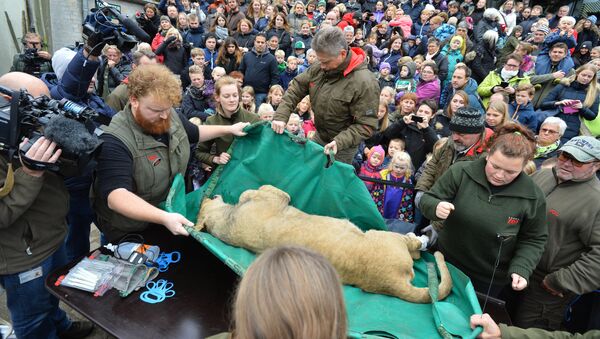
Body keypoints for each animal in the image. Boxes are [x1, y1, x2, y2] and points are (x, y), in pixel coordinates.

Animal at [195, 185, 452, 304]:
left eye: (201, 206)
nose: (207, 195)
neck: (227, 221)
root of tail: (391, 283)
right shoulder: (277, 196)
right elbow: (254, 191)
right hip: (385, 237)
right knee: (413, 248)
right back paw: (421, 239)